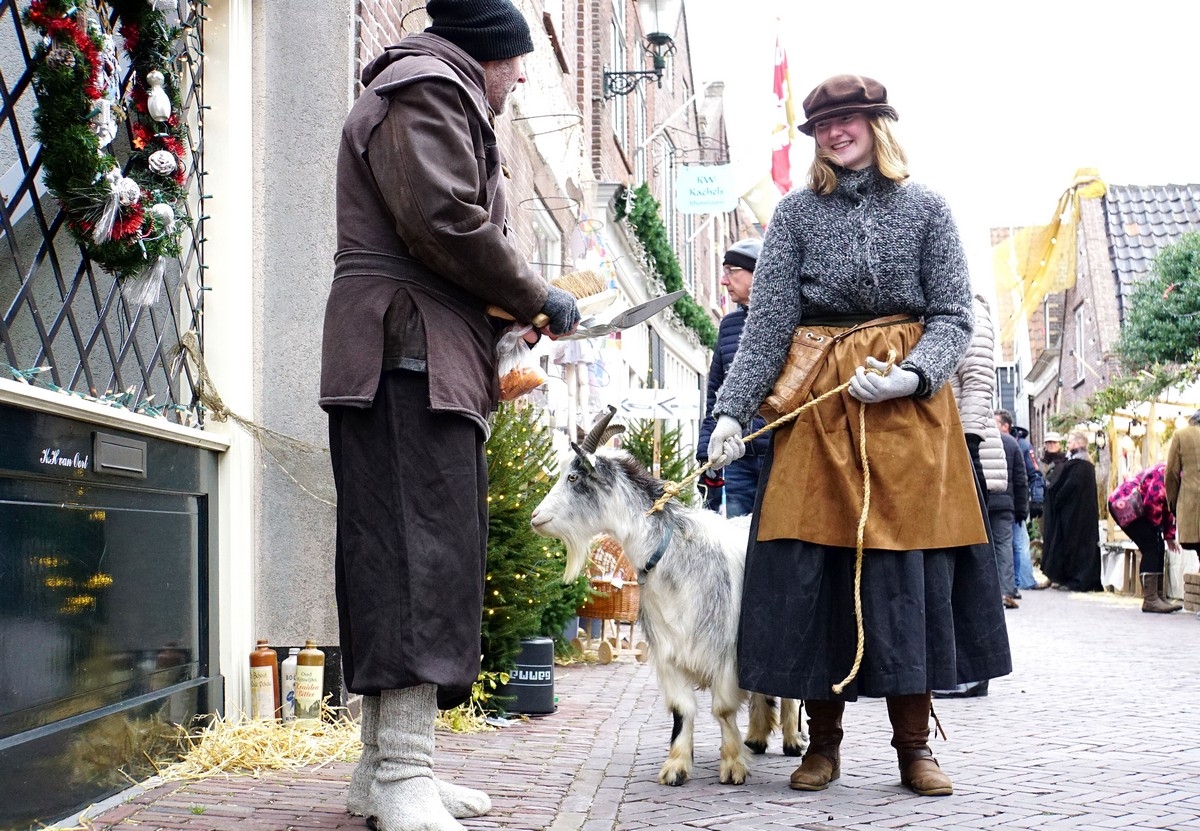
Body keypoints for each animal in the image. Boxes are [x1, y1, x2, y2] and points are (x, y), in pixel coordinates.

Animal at [530, 408, 804, 786]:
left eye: (573, 476)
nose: (535, 517)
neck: (672, 555)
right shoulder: (668, 653)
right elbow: (682, 709)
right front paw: (676, 766)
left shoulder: (725, 656)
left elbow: (723, 709)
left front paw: (733, 765)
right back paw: (758, 737)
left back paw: (792, 740)